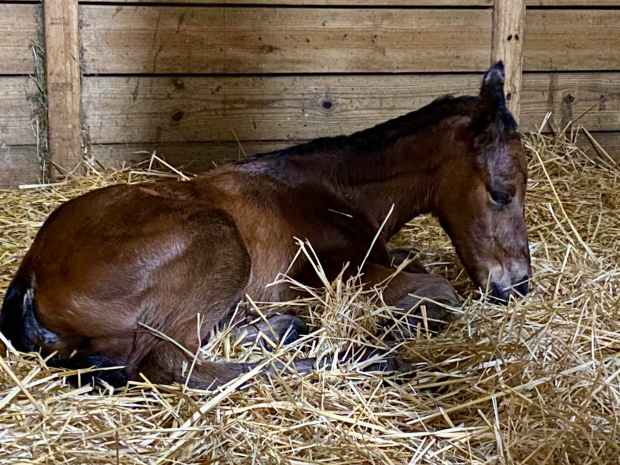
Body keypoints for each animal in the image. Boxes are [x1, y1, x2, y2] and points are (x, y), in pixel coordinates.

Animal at [2, 62, 532, 388]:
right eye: (500, 191)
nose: (518, 286)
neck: (335, 190)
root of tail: (32, 268)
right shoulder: (340, 274)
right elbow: (440, 290)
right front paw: (389, 329)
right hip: (218, 242)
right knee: (173, 363)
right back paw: (364, 356)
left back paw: (287, 327)